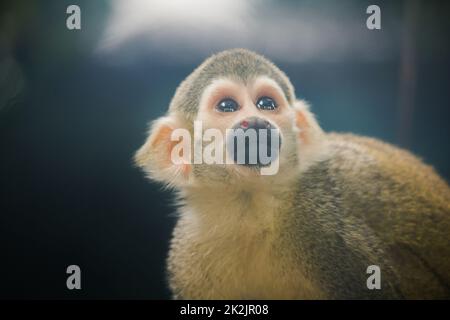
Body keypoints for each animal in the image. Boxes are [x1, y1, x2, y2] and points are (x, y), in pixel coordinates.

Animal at [135, 48, 450, 298]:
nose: (255, 122)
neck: (248, 206)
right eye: (227, 106)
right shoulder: (188, 257)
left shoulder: (323, 228)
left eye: (266, 104)